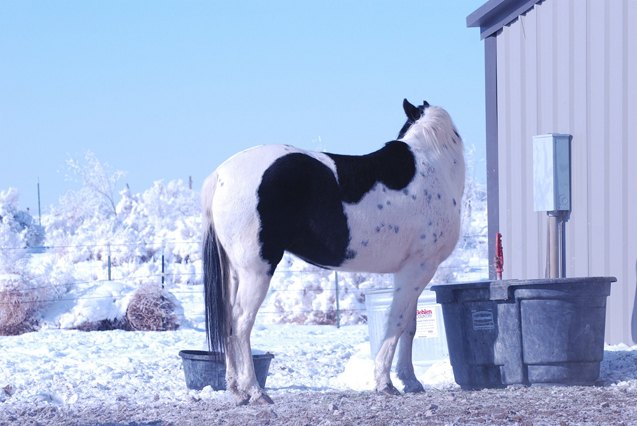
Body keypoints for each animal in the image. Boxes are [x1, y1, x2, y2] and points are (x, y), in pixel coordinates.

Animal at [201, 98, 464, 404]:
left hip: (234, 273)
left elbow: (409, 326)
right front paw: (385, 383)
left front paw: (410, 381)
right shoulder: (419, 267)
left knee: (228, 323)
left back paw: (237, 390)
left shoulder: (411, 271)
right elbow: (396, 323)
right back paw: (256, 392)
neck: (432, 167)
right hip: (256, 271)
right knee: (241, 324)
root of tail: (221, 175)